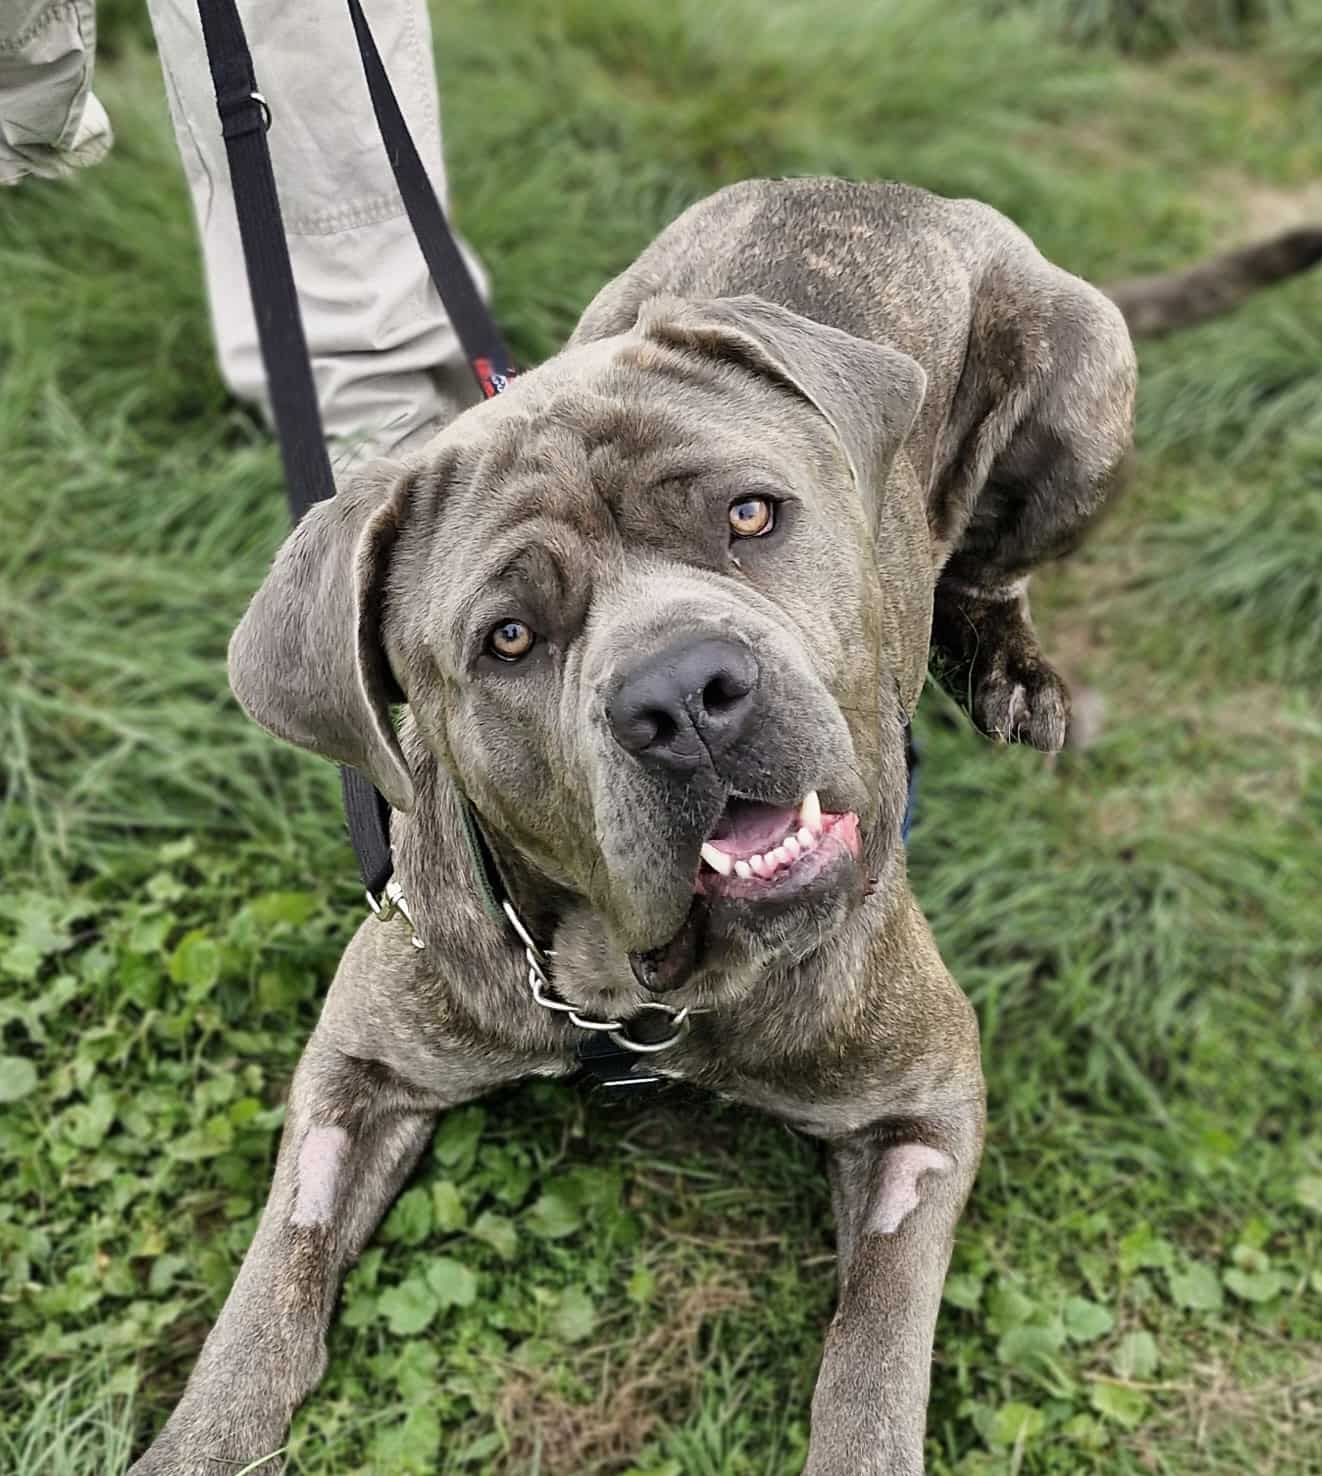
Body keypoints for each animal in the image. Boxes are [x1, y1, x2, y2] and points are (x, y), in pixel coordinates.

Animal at [128, 178, 1322, 1475]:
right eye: (508, 637)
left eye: (751, 515)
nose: (683, 694)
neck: (636, 985)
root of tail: (908, 195)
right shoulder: (359, 1067)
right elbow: (272, 1282)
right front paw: (200, 1437)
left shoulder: (924, 1108)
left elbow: (874, 1351)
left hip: (1086, 387)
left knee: (986, 566)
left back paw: (1007, 672)